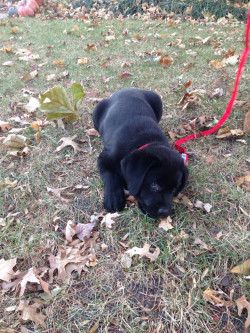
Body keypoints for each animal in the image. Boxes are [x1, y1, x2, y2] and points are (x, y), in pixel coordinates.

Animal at [93, 87, 188, 218]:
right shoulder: (103, 158)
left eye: (174, 189)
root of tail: (127, 88)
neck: (144, 143)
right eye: (154, 184)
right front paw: (113, 198)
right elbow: (110, 176)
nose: (164, 212)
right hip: (96, 111)